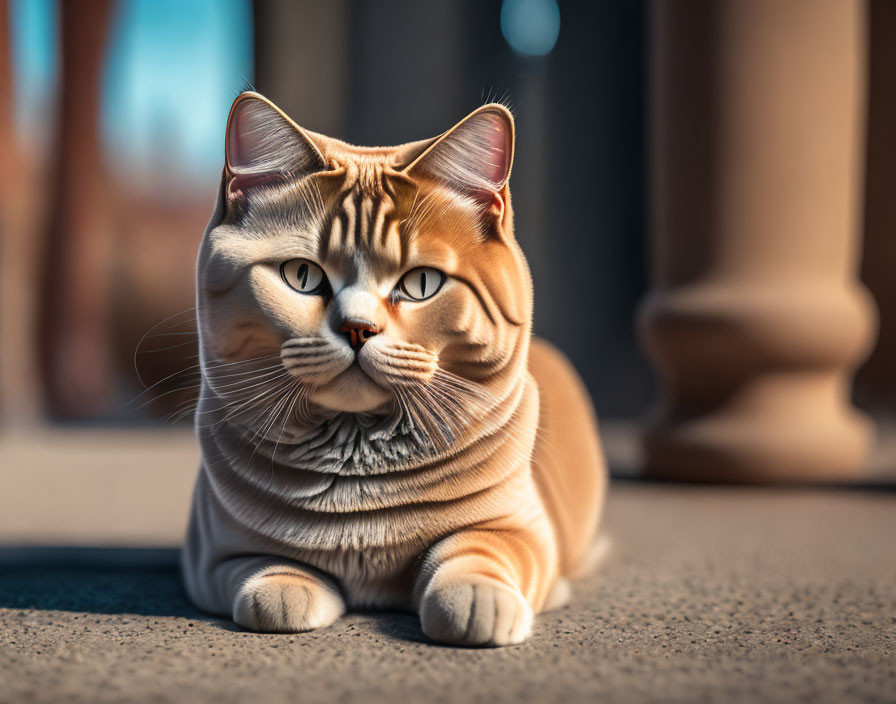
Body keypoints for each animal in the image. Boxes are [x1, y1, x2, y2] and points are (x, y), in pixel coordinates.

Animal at [186, 92, 612, 644]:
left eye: (421, 283)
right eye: (302, 275)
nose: (358, 328)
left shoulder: (523, 530)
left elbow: (477, 549)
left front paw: (476, 601)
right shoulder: (210, 557)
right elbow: (266, 564)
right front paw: (283, 588)